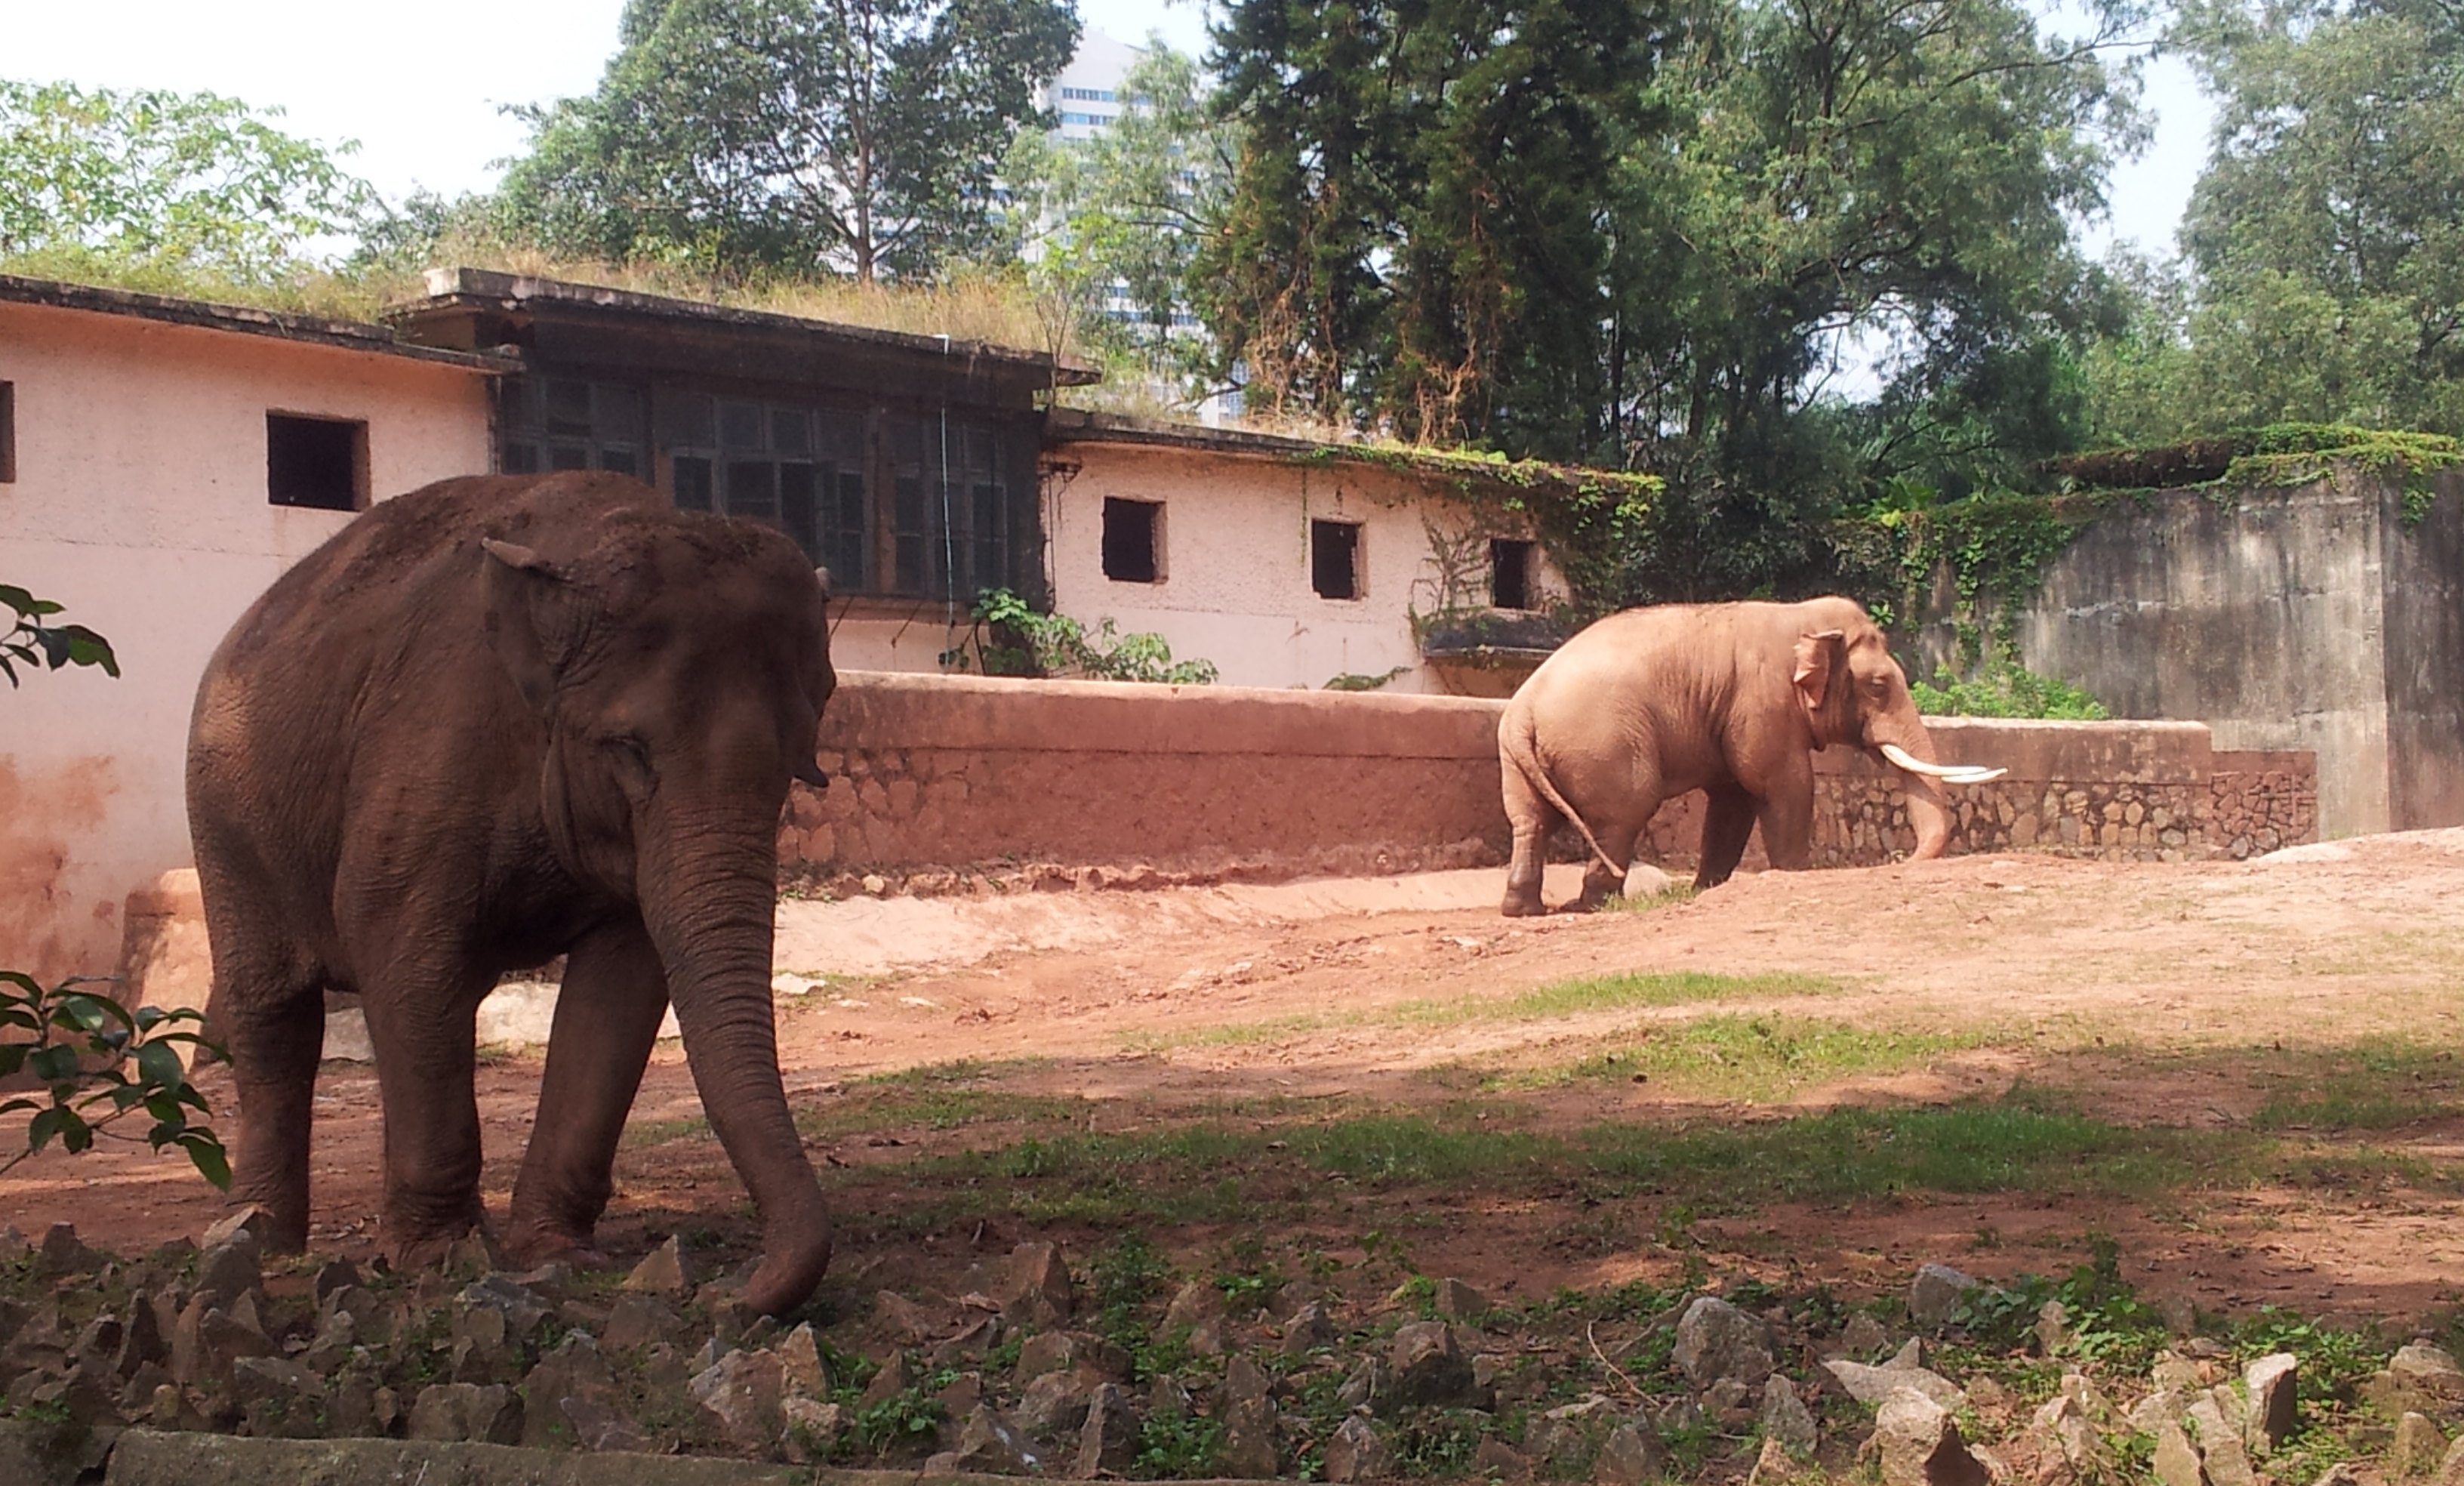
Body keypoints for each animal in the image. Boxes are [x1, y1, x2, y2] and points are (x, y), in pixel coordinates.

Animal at [184, 473, 837, 1311]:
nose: (724, 1288)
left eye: (798, 762)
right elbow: (402, 953)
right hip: (225, 821)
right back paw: (252, 1242)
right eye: (628, 750)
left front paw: (557, 1254)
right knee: (274, 1013)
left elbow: (620, 988)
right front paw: (438, 1259)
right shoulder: (429, 753)